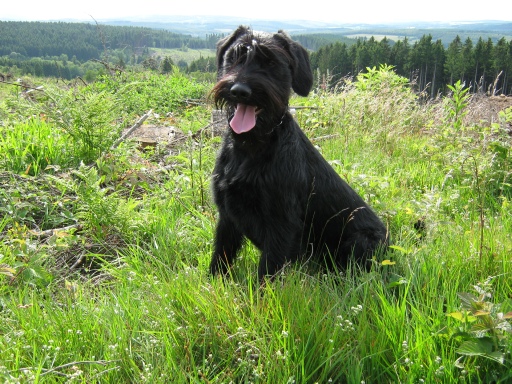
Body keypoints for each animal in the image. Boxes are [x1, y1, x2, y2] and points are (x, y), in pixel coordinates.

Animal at [208, 24, 388, 282]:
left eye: (271, 62)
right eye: (235, 56)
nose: (239, 90)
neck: (251, 147)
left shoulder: (281, 223)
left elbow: (268, 271)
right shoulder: (227, 216)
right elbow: (220, 257)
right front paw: (212, 285)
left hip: (362, 240)